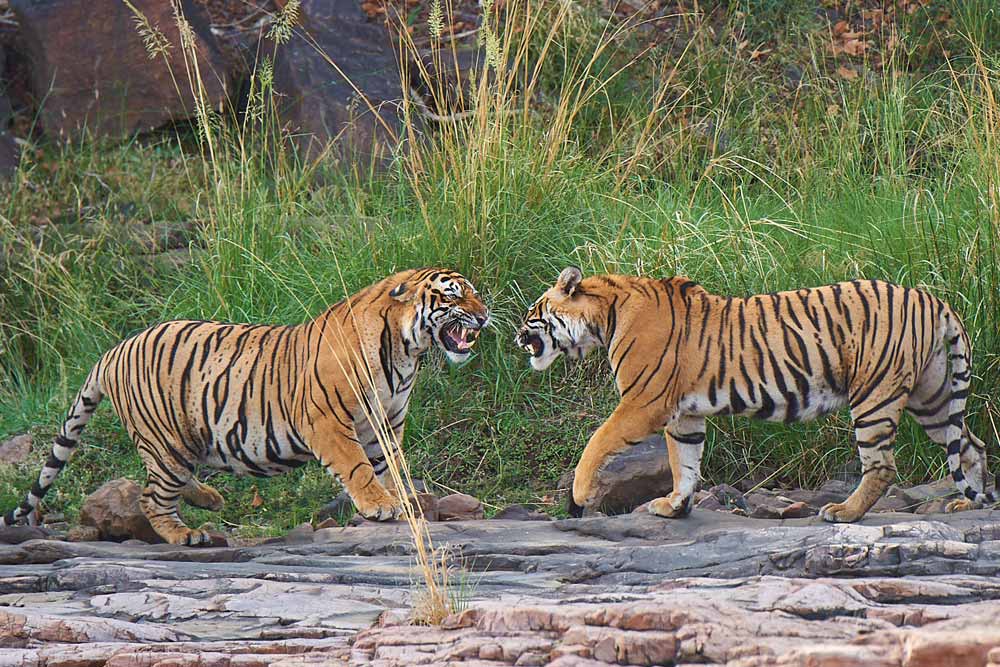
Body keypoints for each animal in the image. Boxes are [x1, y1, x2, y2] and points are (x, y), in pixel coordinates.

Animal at [2, 268, 489, 545]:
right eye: (453, 295)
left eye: (474, 294)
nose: (485, 317)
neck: (405, 351)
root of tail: (114, 350)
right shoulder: (328, 421)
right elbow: (358, 468)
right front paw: (380, 505)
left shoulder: (386, 421)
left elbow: (391, 465)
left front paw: (403, 499)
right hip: (166, 440)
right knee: (151, 497)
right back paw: (187, 535)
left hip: (179, 442)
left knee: (164, 482)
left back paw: (209, 499)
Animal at [516, 267, 995, 522]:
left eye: (533, 313)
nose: (519, 337)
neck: (605, 317)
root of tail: (935, 301)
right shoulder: (684, 415)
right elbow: (684, 461)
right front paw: (675, 506)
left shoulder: (643, 404)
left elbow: (596, 442)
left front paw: (579, 498)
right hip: (932, 397)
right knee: (971, 444)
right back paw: (970, 503)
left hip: (876, 396)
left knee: (881, 466)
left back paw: (844, 512)